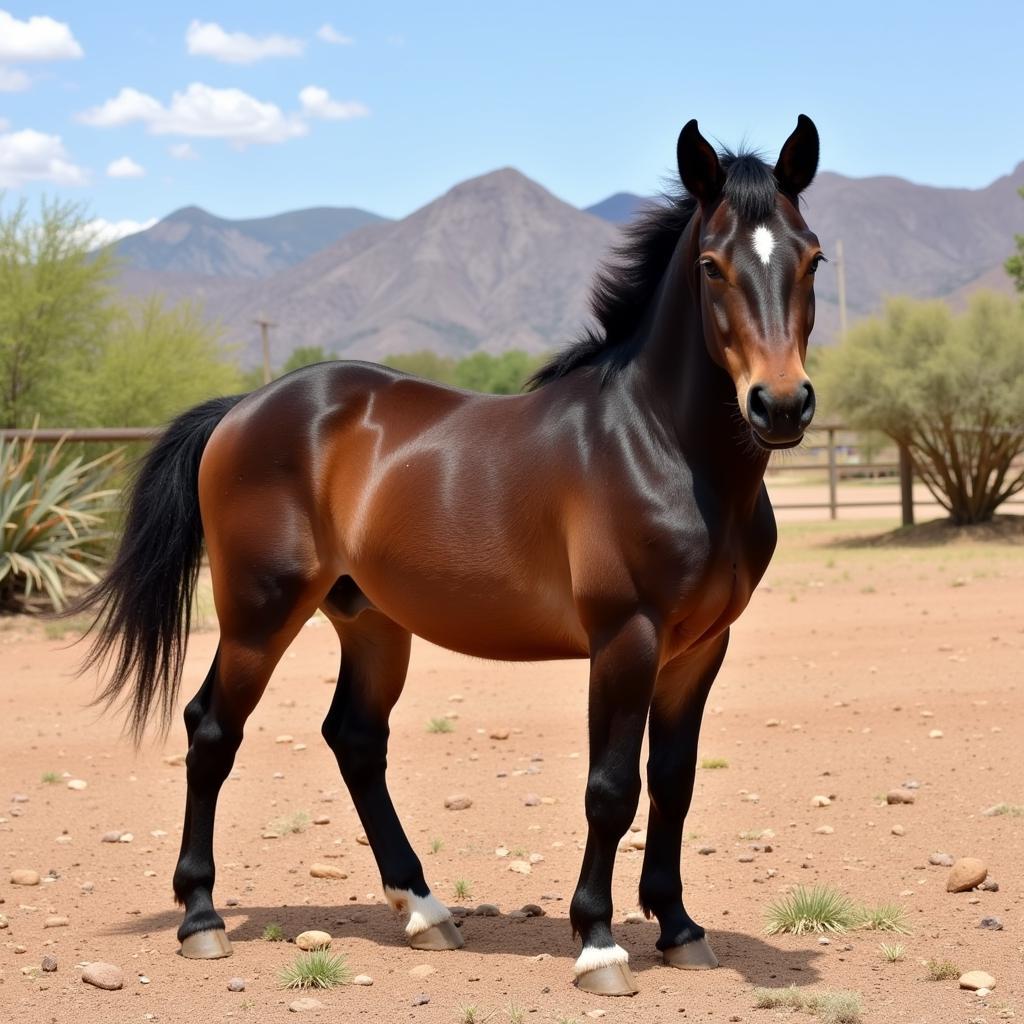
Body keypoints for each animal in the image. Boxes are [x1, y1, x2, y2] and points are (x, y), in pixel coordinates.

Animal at [75, 116, 819, 995]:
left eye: (812, 257)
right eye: (712, 264)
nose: (780, 405)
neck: (659, 446)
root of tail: (245, 408)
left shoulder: (701, 647)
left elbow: (674, 782)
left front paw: (677, 928)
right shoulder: (625, 638)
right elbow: (612, 787)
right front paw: (599, 944)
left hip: (369, 621)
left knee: (355, 739)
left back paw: (425, 911)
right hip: (259, 614)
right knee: (212, 731)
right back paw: (201, 918)